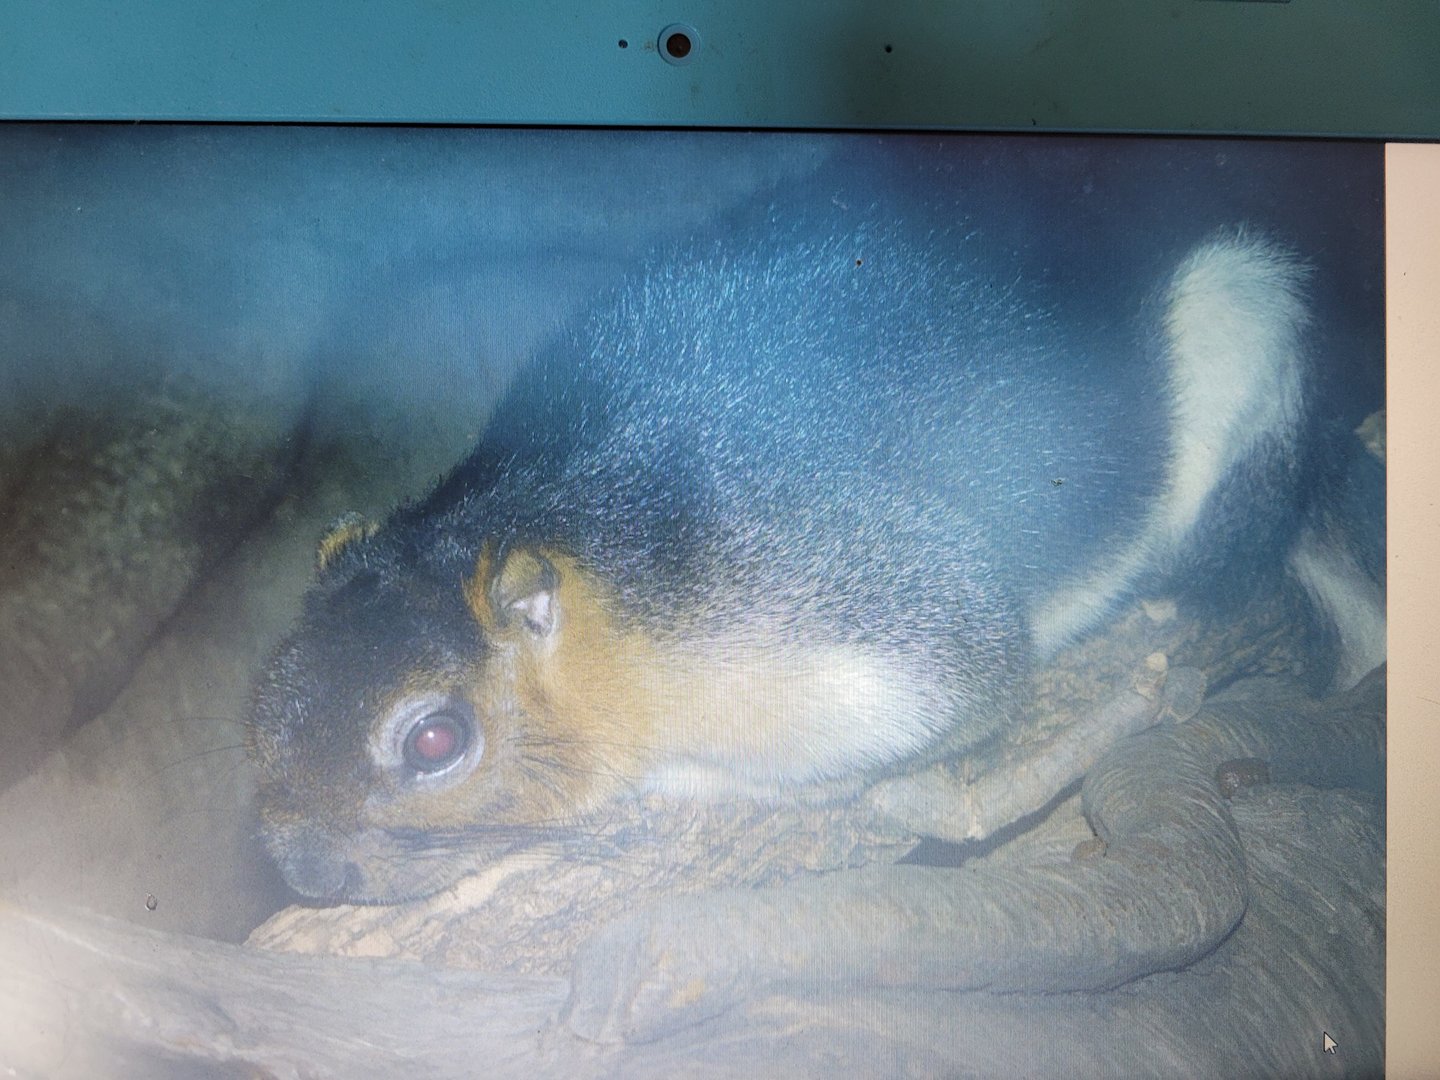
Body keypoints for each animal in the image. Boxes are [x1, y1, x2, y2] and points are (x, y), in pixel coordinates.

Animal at [247, 153, 1384, 904]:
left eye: (436, 739)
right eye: (259, 702)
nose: (303, 869)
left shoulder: (866, 618)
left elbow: (962, 685)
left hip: (1243, 342)